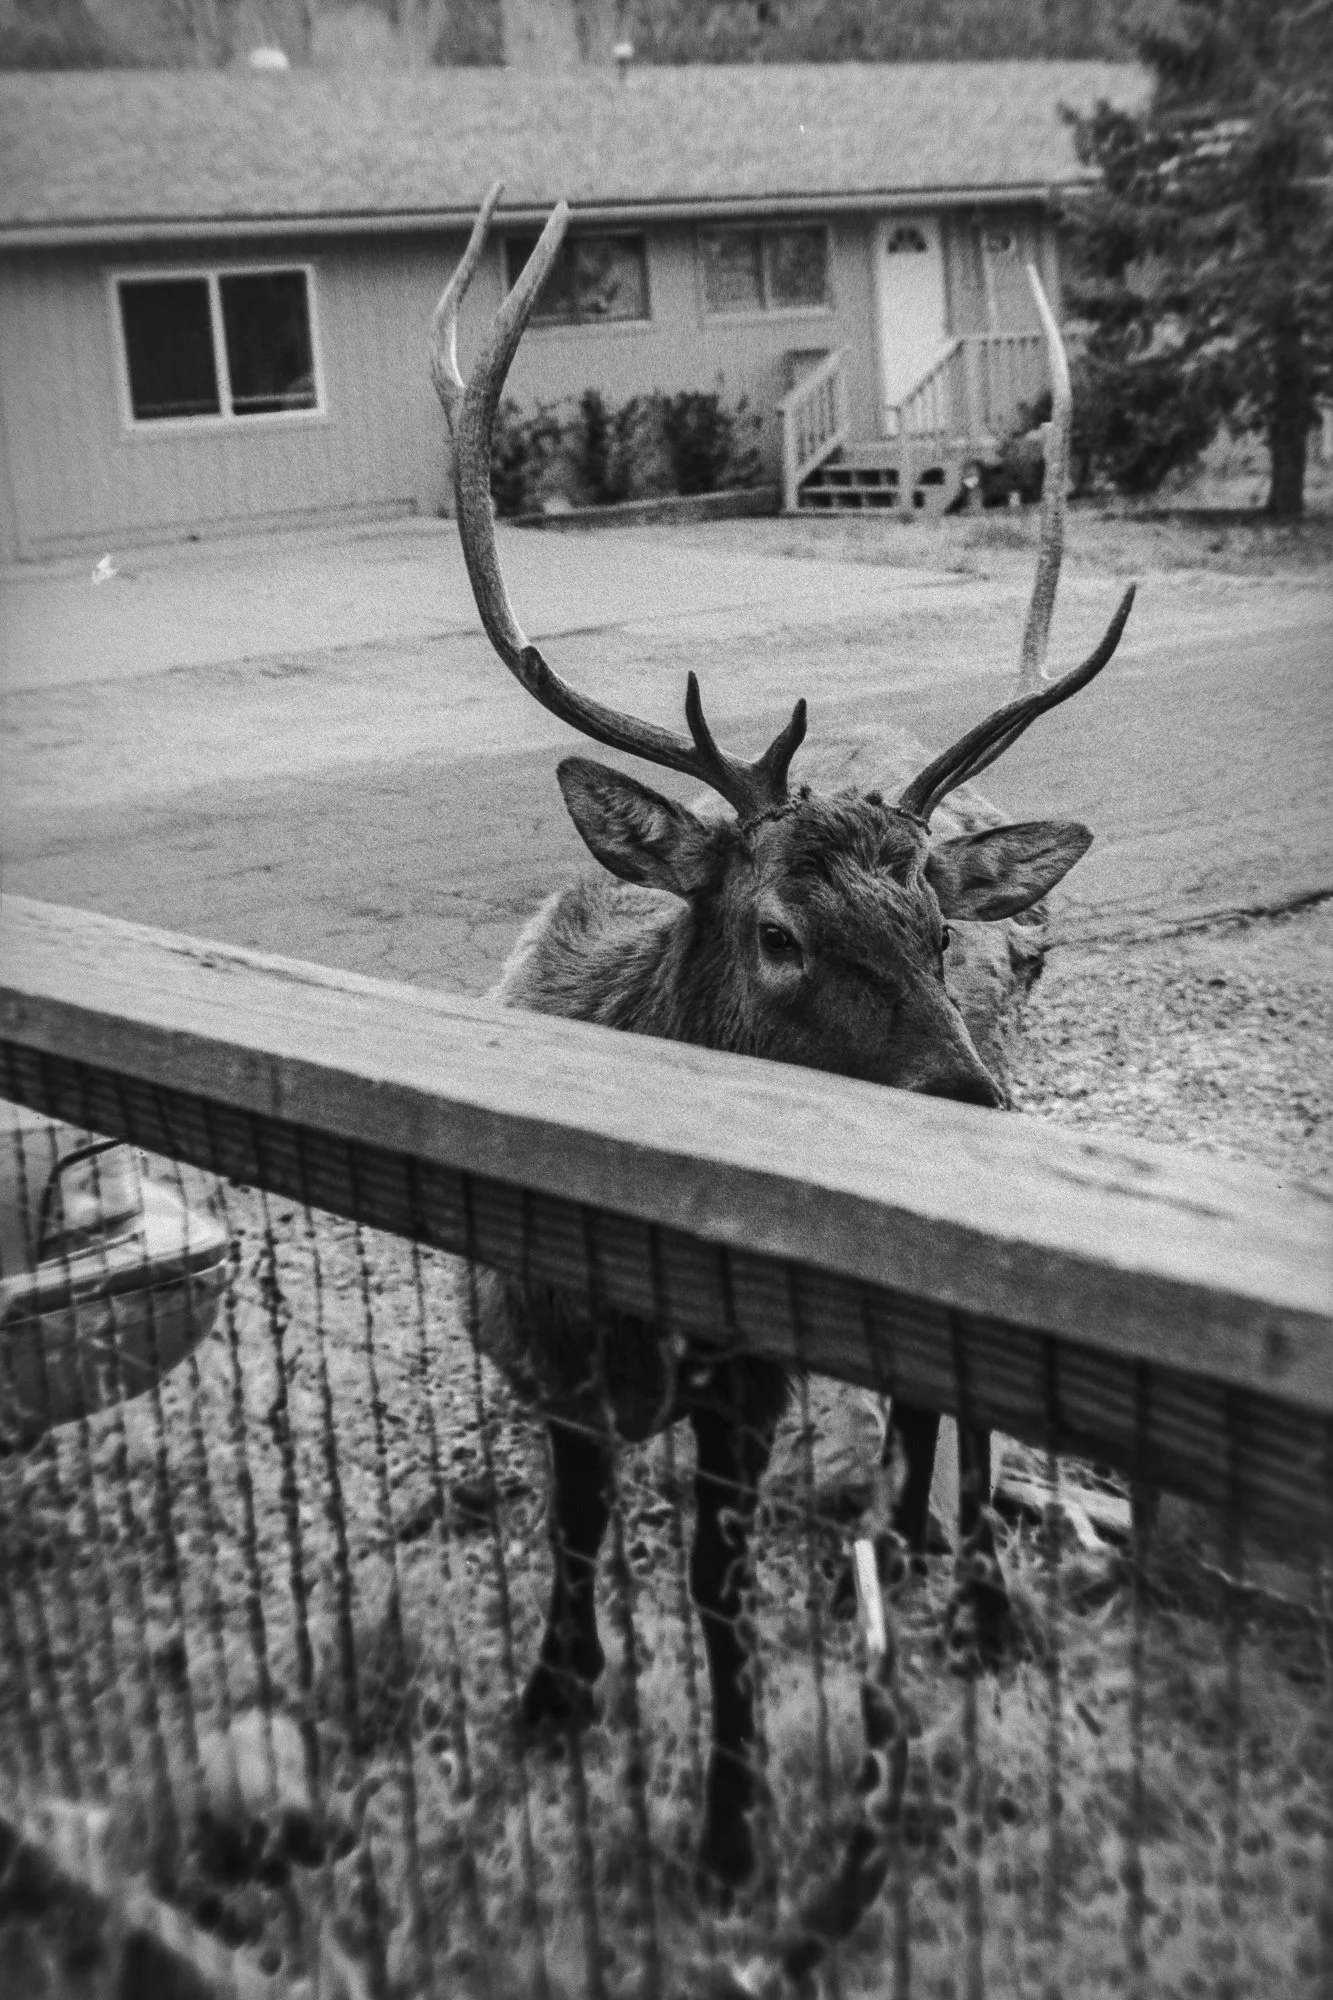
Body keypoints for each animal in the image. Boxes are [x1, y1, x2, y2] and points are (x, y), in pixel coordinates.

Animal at [430, 184, 1134, 1897]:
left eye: (939, 932)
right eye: (775, 934)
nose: (975, 1103)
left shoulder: (743, 1381)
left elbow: (711, 1584)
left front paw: (734, 1829)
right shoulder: (532, 1347)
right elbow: (572, 1538)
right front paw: (555, 1700)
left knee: (957, 1407)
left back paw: (973, 1586)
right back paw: (916, 1543)